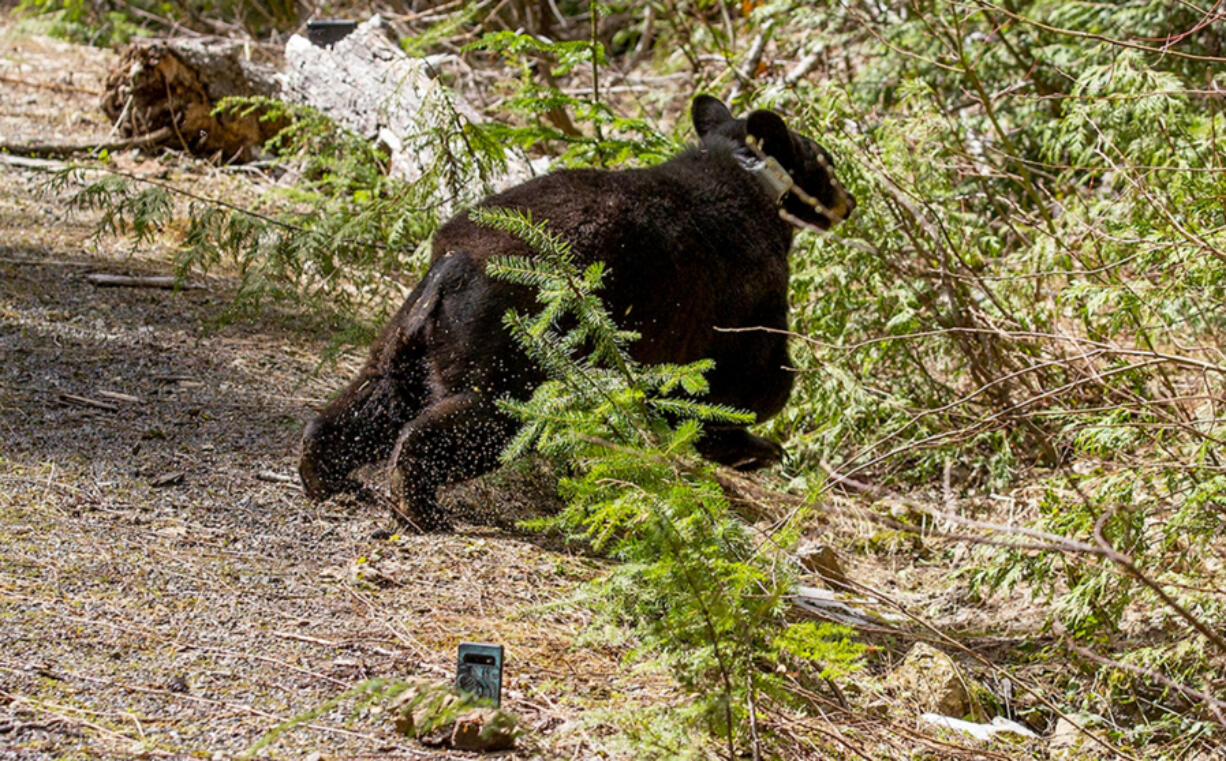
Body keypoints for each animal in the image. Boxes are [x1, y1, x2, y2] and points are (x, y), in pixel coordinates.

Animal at [299, 94, 853, 529]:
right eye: (827, 162)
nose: (848, 201)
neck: (749, 179)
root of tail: (454, 267)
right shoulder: (745, 291)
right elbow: (750, 380)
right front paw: (753, 445)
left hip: (411, 335)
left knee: (374, 399)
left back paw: (323, 471)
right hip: (519, 350)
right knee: (482, 420)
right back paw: (419, 503)